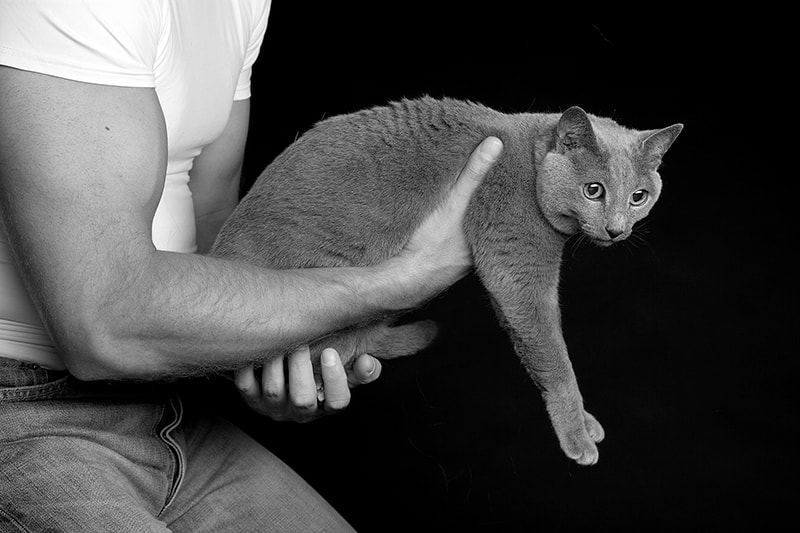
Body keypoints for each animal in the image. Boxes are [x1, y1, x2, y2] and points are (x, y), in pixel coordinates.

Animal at [211, 96, 683, 465]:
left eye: (638, 197)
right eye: (593, 190)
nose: (616, 229)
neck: (530, 162)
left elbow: (537, 350)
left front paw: (585, 423)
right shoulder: (516, 258)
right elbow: (554, 356)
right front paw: (578, 436)